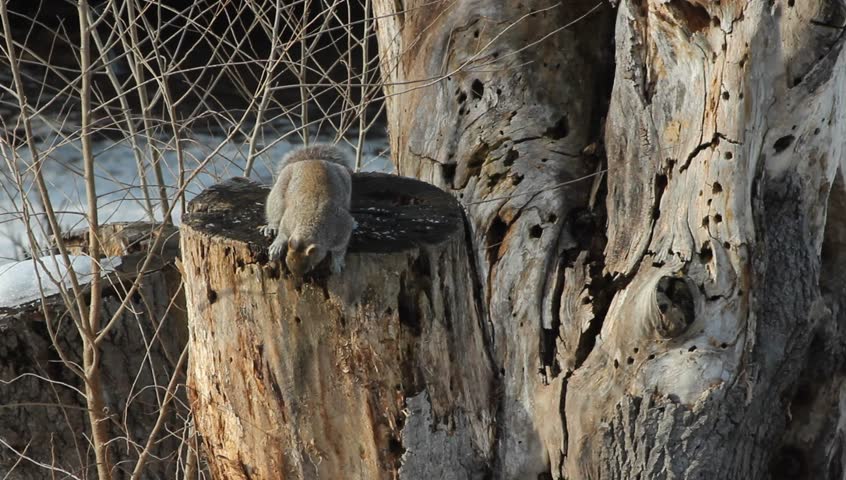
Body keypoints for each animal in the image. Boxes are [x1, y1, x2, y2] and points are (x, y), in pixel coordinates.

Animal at [261, 144, 355, 276]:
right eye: (287, 261)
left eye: (310, 267)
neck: (309, 222)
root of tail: (311, 160)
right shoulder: (288, 218)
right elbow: (283, 233)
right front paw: (277, 246)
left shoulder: (342, 226)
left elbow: (340, 249)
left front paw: (337, 263)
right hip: (278, 194)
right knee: (275, 214)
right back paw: (272, 227)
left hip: (345, 180)